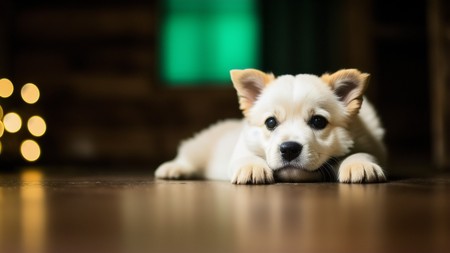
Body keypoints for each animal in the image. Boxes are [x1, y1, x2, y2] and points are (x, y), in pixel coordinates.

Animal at [156, 69, 386, 184]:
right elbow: (247, 157)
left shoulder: (371, 144)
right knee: (186, 154)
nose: (290, 149)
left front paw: (359, 164)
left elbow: (362, 153)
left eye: (318, 121)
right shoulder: (243, 146)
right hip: (200, 146)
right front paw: (252, 168)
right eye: (271, 122)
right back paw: (172, 169)